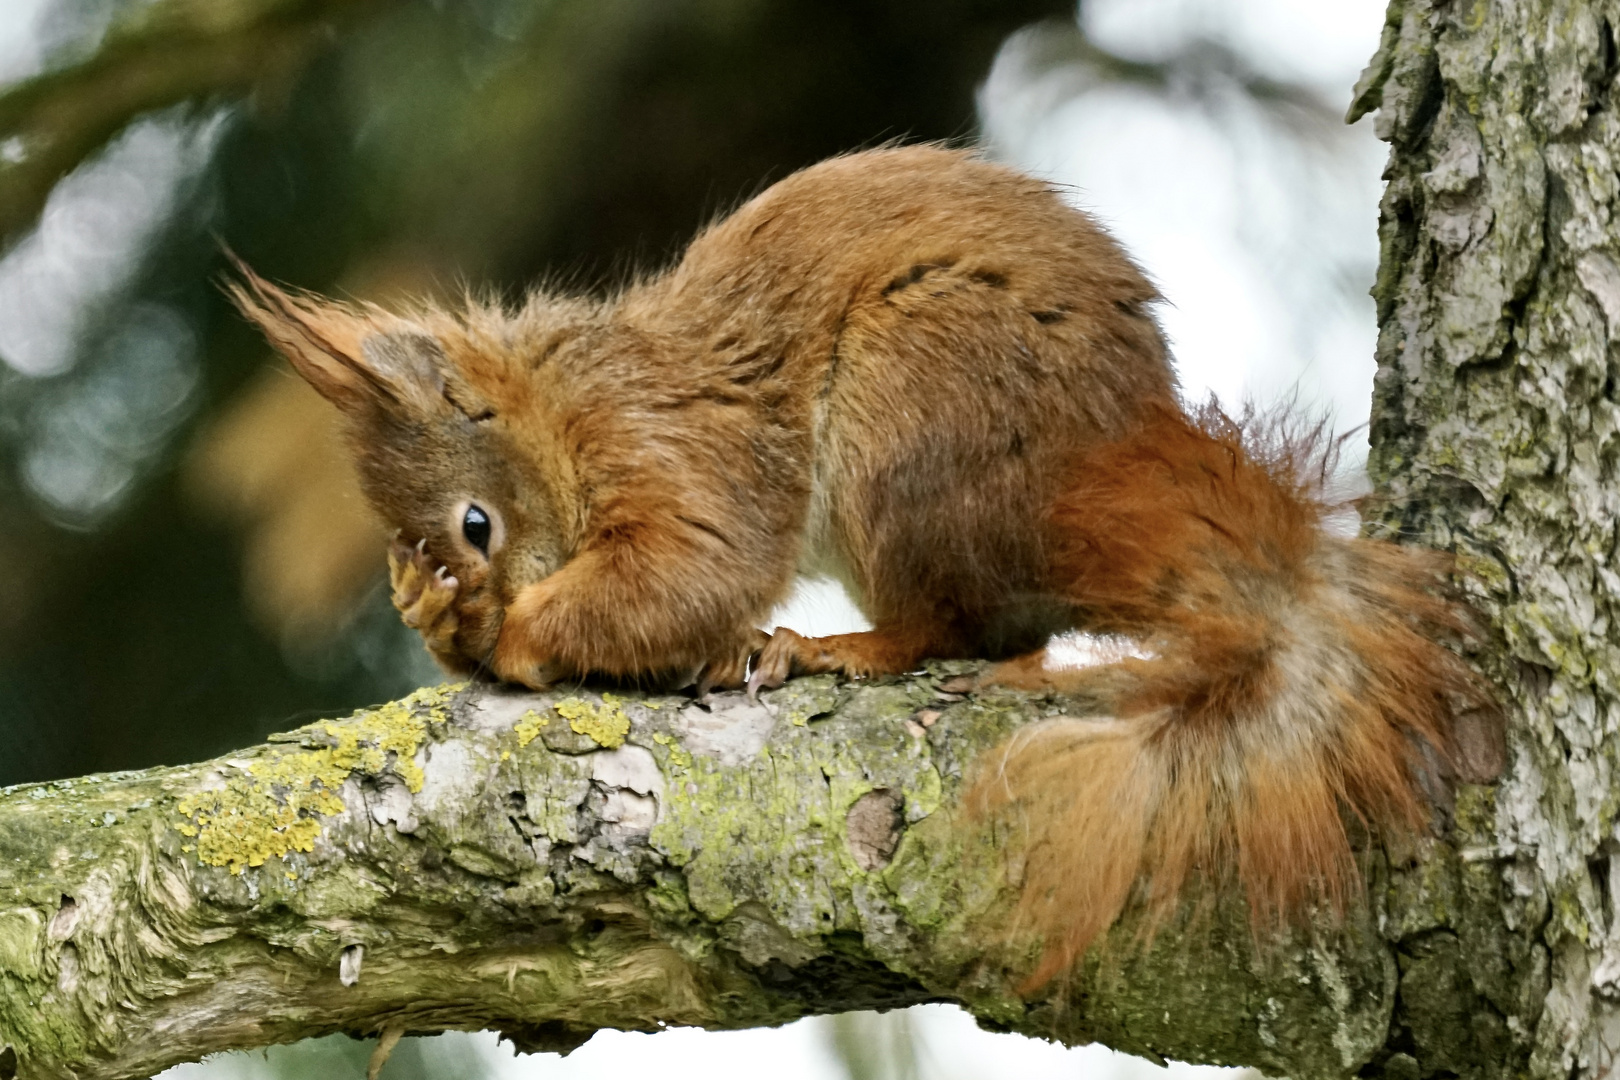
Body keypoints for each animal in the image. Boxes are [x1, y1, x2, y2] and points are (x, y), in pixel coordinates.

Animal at [231, 148, 1490, 984]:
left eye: (478, 525)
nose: (451, 596)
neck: (555, 408)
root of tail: (1099, 478)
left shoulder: (669, 447)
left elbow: (692, 572)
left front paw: (515, 632)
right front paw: (435, 619)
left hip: (912, 410)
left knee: (958, 630)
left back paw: (826, 647)